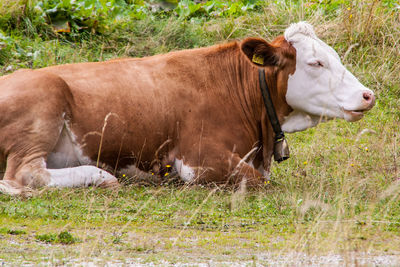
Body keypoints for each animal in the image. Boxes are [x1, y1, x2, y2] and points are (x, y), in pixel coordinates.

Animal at [0, 22, 376, 196]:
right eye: (316, 63)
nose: (367, 95)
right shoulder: (198, 160)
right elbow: (257, 181)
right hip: (43, 108)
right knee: (25, 174)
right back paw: (100, 176)